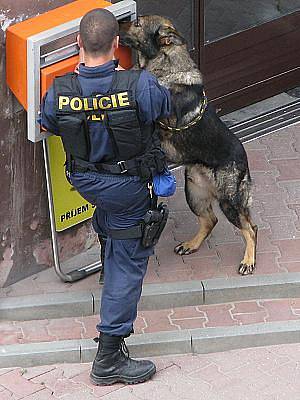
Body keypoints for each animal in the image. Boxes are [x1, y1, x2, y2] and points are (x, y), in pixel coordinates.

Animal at [119, 14, 258, 274]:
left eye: (138, 23)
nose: (113, 23)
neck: (164, 65)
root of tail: (244, 162)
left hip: (229, 202)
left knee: (249, 229)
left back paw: (248, 260)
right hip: (193, 193)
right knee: (211, 220)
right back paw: (191, 245)